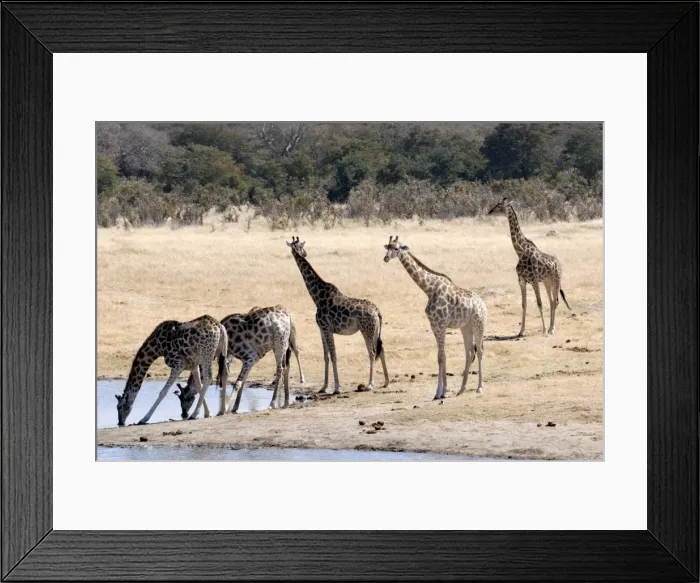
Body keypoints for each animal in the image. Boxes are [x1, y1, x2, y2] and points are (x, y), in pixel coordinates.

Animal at [174, 305, 303, 416]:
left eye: (185, 397)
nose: (183, 413)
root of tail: (288, 316)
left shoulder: (250, 356)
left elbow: (237, 382)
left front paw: (226, 408)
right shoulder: (241, 358)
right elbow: (238, 379)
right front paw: (234, 407)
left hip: (279, 343)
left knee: (280, 369)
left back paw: (272, 403)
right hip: (286, 343)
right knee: (286, 367)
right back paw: (286, 402)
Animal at [286, 236, 390, 394]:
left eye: (301, 246)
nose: (304, 253)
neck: (317, 296)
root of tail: (377, 311)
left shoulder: (327, 328)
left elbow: (334, 356)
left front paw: (336, 388)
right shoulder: (322, 329)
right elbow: (326, 356)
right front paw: (323, 387)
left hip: (366, 330)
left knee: (372, 353)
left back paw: (370, 384)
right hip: (375, 330)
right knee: (381, 349)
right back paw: (386, 382)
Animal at [383, 236, 486, 400]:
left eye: (397, 248)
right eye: (388, 247)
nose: (386, 258)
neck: (429, 290)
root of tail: (483, 304)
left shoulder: (441, 325)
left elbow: (441, 357)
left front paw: (440, 392)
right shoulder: (434, 325)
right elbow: (441, 356)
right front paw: (442, 391)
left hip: (479, 324)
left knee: (480, 351)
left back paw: (480, 388)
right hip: (466, 327)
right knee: (469, 352)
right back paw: (461, 389)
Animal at [488, 197, 571, 336]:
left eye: (499, 206)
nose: (490, 211)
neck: (520, 252)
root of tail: (559, 264)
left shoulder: (534, 280)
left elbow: (539, 303)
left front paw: (543, 329)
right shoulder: (521, 281)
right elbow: (524, 304)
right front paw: (521, 331)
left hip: (556, 281)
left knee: (556, 301)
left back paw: (552, 329)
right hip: (547, 282)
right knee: (552, 301)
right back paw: (551, 328)